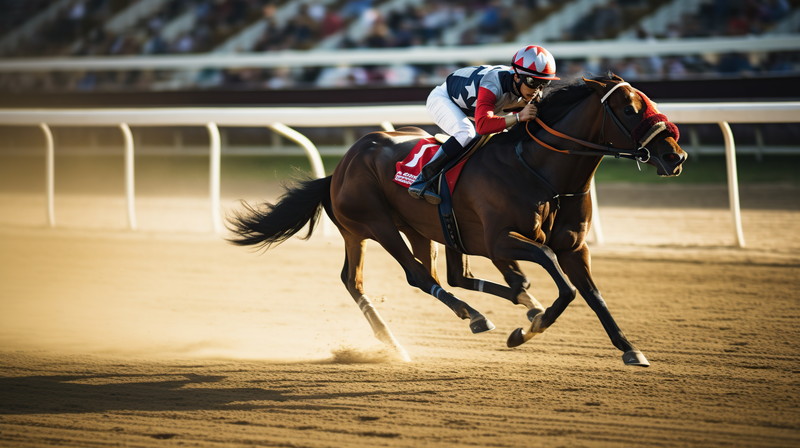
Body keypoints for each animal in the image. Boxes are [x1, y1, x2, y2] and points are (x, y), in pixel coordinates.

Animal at [228, 74, 684, 368]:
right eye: (630, 108)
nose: (675, 155)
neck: (539, 169)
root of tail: (341, 165)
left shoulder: (574, 246)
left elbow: (592, 294)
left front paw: (629, 348)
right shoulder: (503, 240)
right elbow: (563, 283)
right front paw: (527, 331)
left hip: (421, 230)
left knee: (397, 278)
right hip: (375, 226)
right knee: (414, 276)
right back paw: (463, 321)